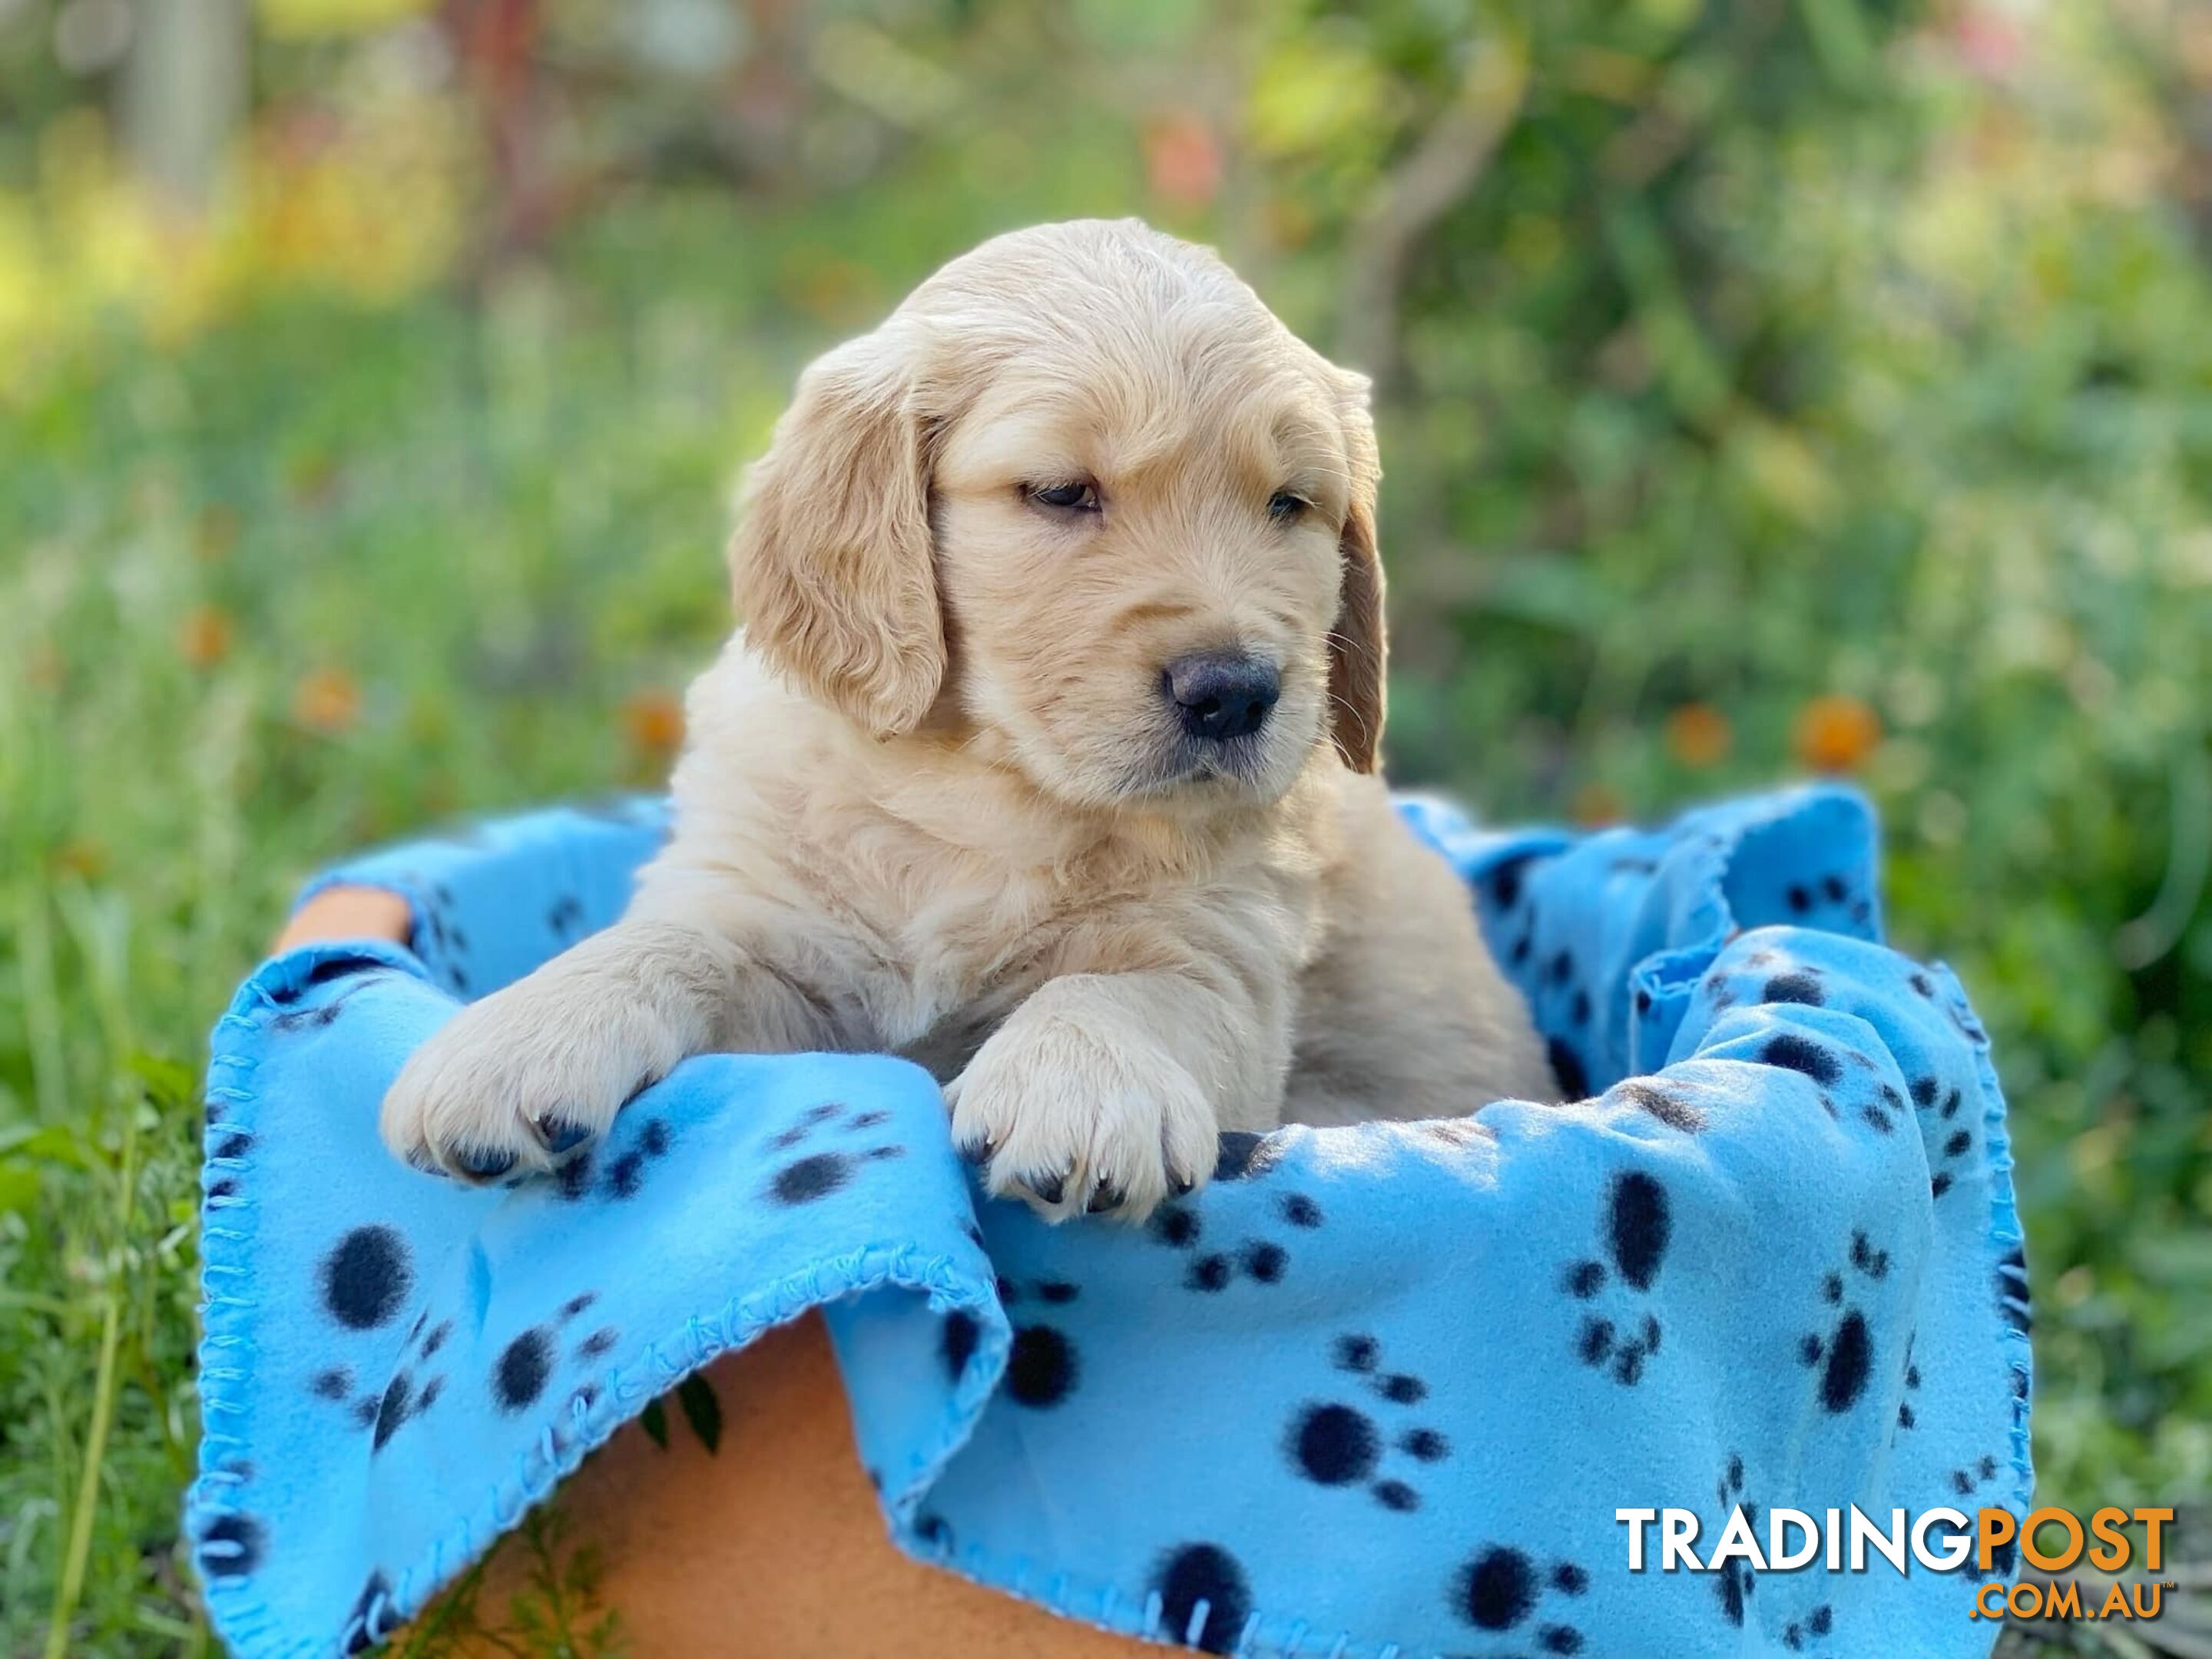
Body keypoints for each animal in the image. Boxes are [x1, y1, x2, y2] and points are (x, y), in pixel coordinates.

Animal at [380, 217, 1557, 1220]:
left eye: (1290, 507)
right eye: (1061, 492)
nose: (1236, 693)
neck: (981, 798)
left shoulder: (1227, 956)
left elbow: (1130, 987)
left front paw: (1078, 1089)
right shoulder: (777, 944)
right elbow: (672, 941)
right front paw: (522, 1033)